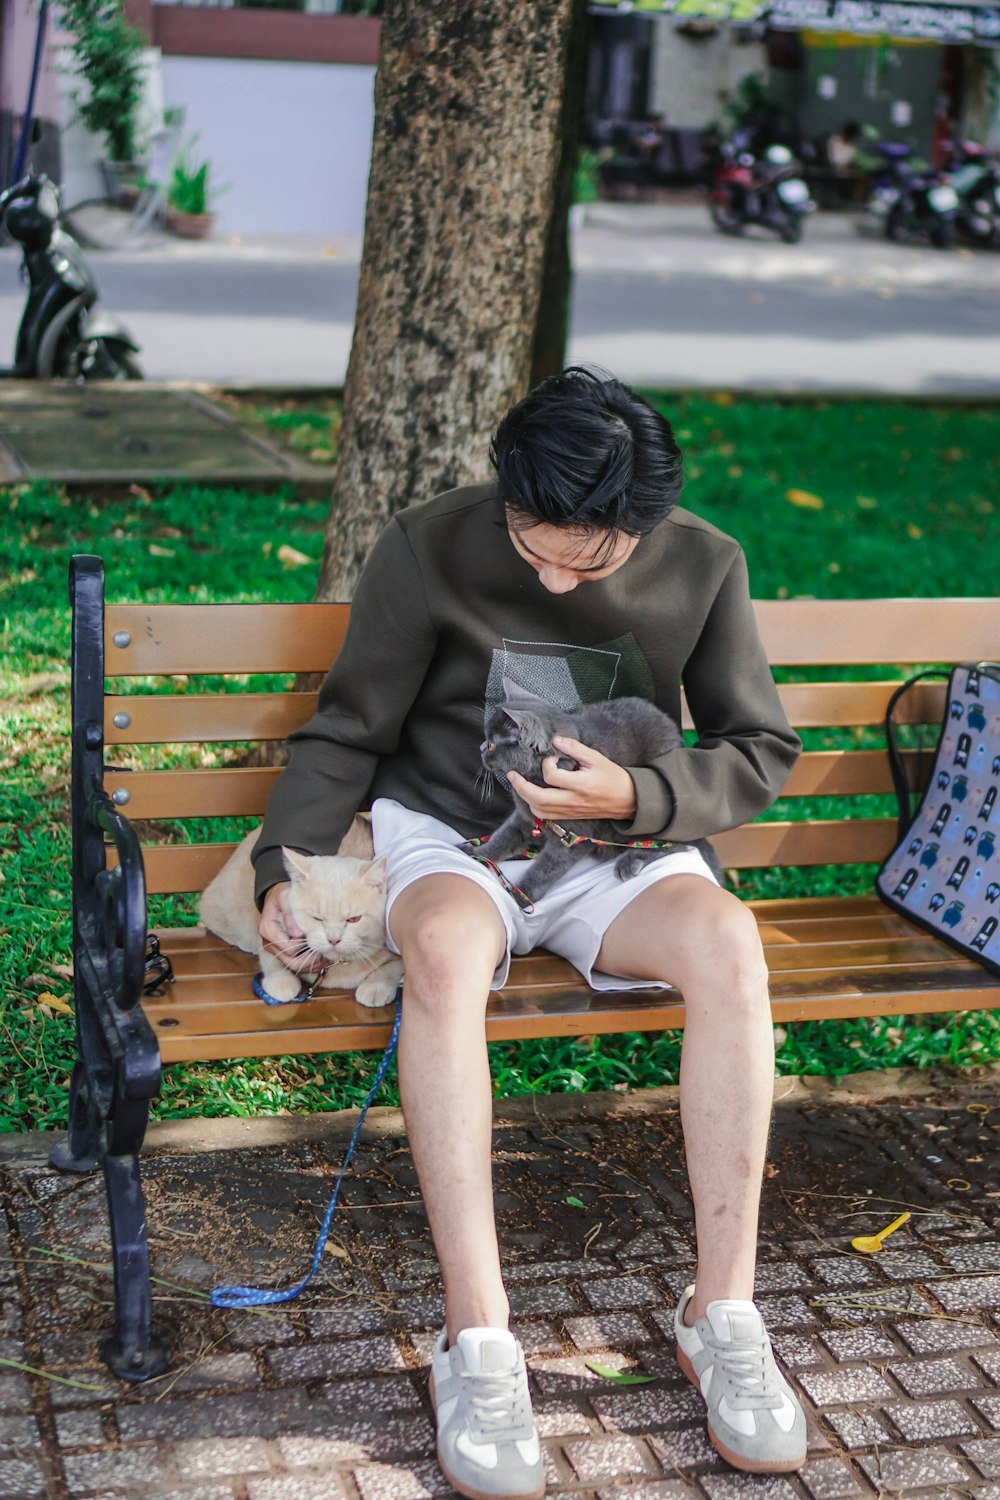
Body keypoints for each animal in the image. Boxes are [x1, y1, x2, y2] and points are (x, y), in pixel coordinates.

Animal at [199, 822, 401, 1008]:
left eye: (354, 919)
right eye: (316, 918)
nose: (333, 940)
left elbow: (391, 968)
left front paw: (376, 986)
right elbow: (270, 954)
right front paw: (281, 980)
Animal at [464, 693, 722, 900]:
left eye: (491, 745)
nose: (479, 748)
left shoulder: (573, 837)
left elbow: (545, 869)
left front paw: (521, 895)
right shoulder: (525, 817)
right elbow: (502, 838)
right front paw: (477, 854)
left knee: (678, 843)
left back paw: (631, 861)